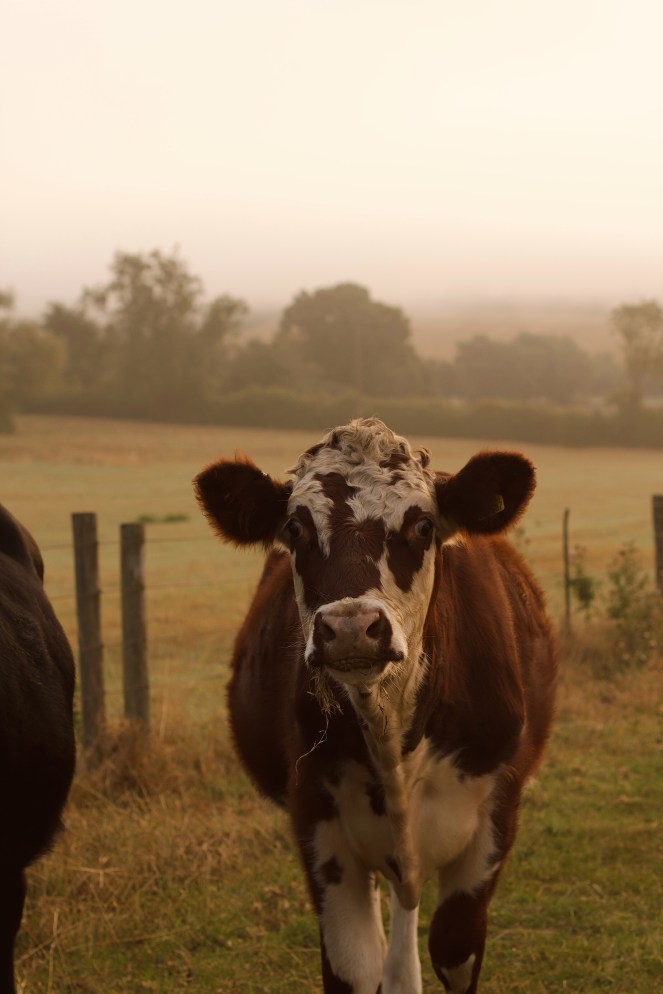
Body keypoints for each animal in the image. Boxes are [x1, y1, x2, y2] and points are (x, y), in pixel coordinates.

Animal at [194, 418, 557, 994]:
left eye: (424, 525)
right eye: (295, 527)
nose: (349, 626)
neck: (392, 738)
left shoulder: (496, 811)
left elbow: (453, 948)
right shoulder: (317, 823)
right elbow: (355, 964)